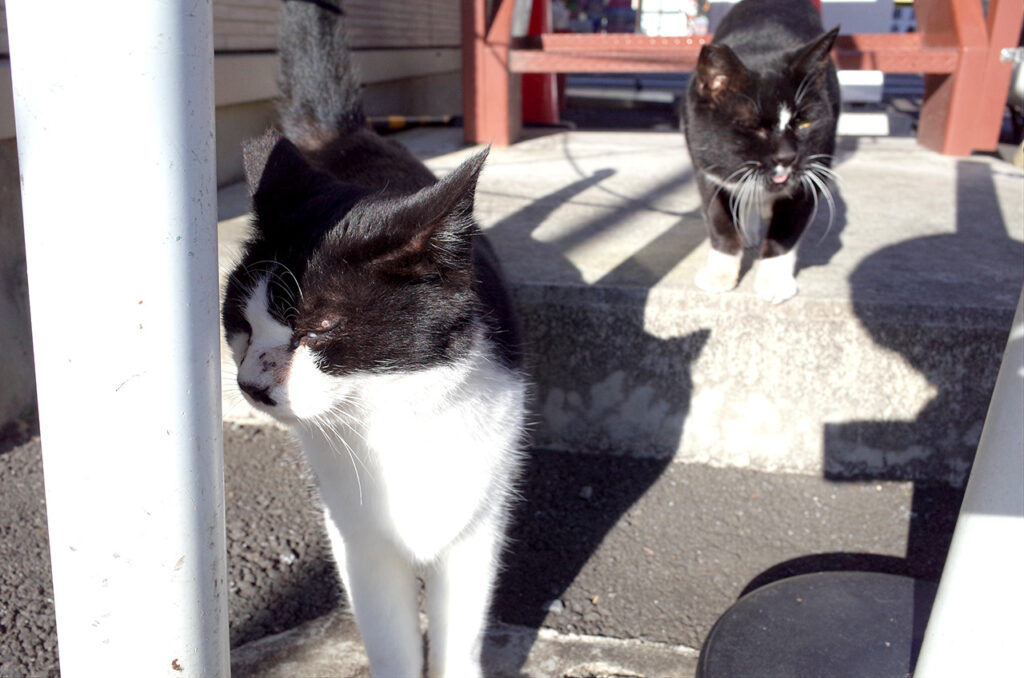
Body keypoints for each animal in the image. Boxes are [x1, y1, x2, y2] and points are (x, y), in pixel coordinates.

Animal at [225, 2, 528, 675]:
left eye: (321, 327)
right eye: (240, 323)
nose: (251, 385)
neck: (393, 418)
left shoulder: (479, 520)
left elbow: (459, 632)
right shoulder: (358, 538)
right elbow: (389, 635)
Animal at [688, 0, 839, 303]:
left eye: (804, 122)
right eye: (752, 126)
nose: (786, 156)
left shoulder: (813, 174)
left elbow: (785, 231)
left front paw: (774, 281)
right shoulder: (705, 169)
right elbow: (719, 220)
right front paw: (720, 273)